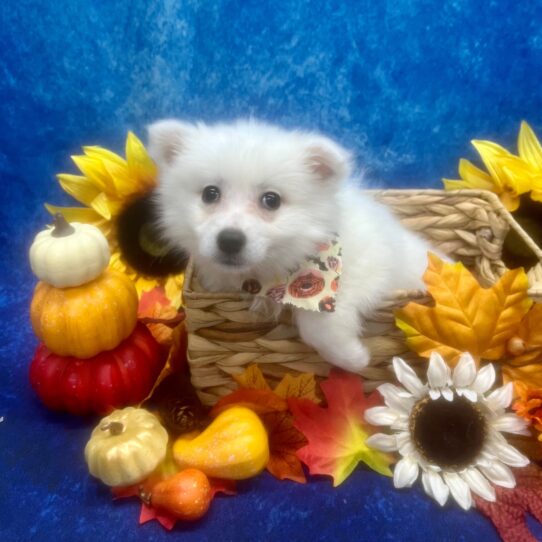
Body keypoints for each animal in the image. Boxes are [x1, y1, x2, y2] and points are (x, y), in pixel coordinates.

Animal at [151, 120, 436, 374]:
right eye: (210, 194)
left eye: (271, 200)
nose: (230, 240)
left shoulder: (370, 264)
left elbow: (319, 317)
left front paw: (352, 357)